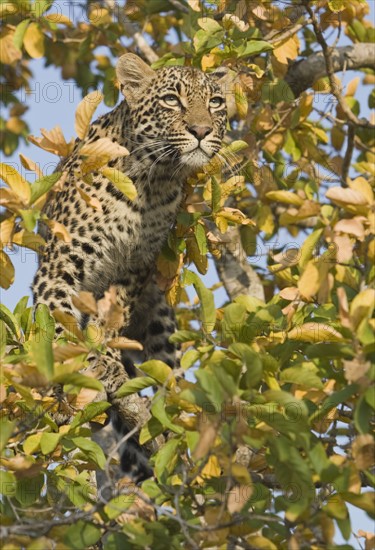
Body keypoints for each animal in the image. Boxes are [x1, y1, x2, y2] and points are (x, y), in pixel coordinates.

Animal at [32, 52, 228, 484]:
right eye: (172, 100)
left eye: (217, 103)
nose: (202, 130)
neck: (153, 181)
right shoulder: (61, 261)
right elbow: (58, 319)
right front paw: (81, 369)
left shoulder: (134, 267)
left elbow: (111, 319)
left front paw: (107, 359)